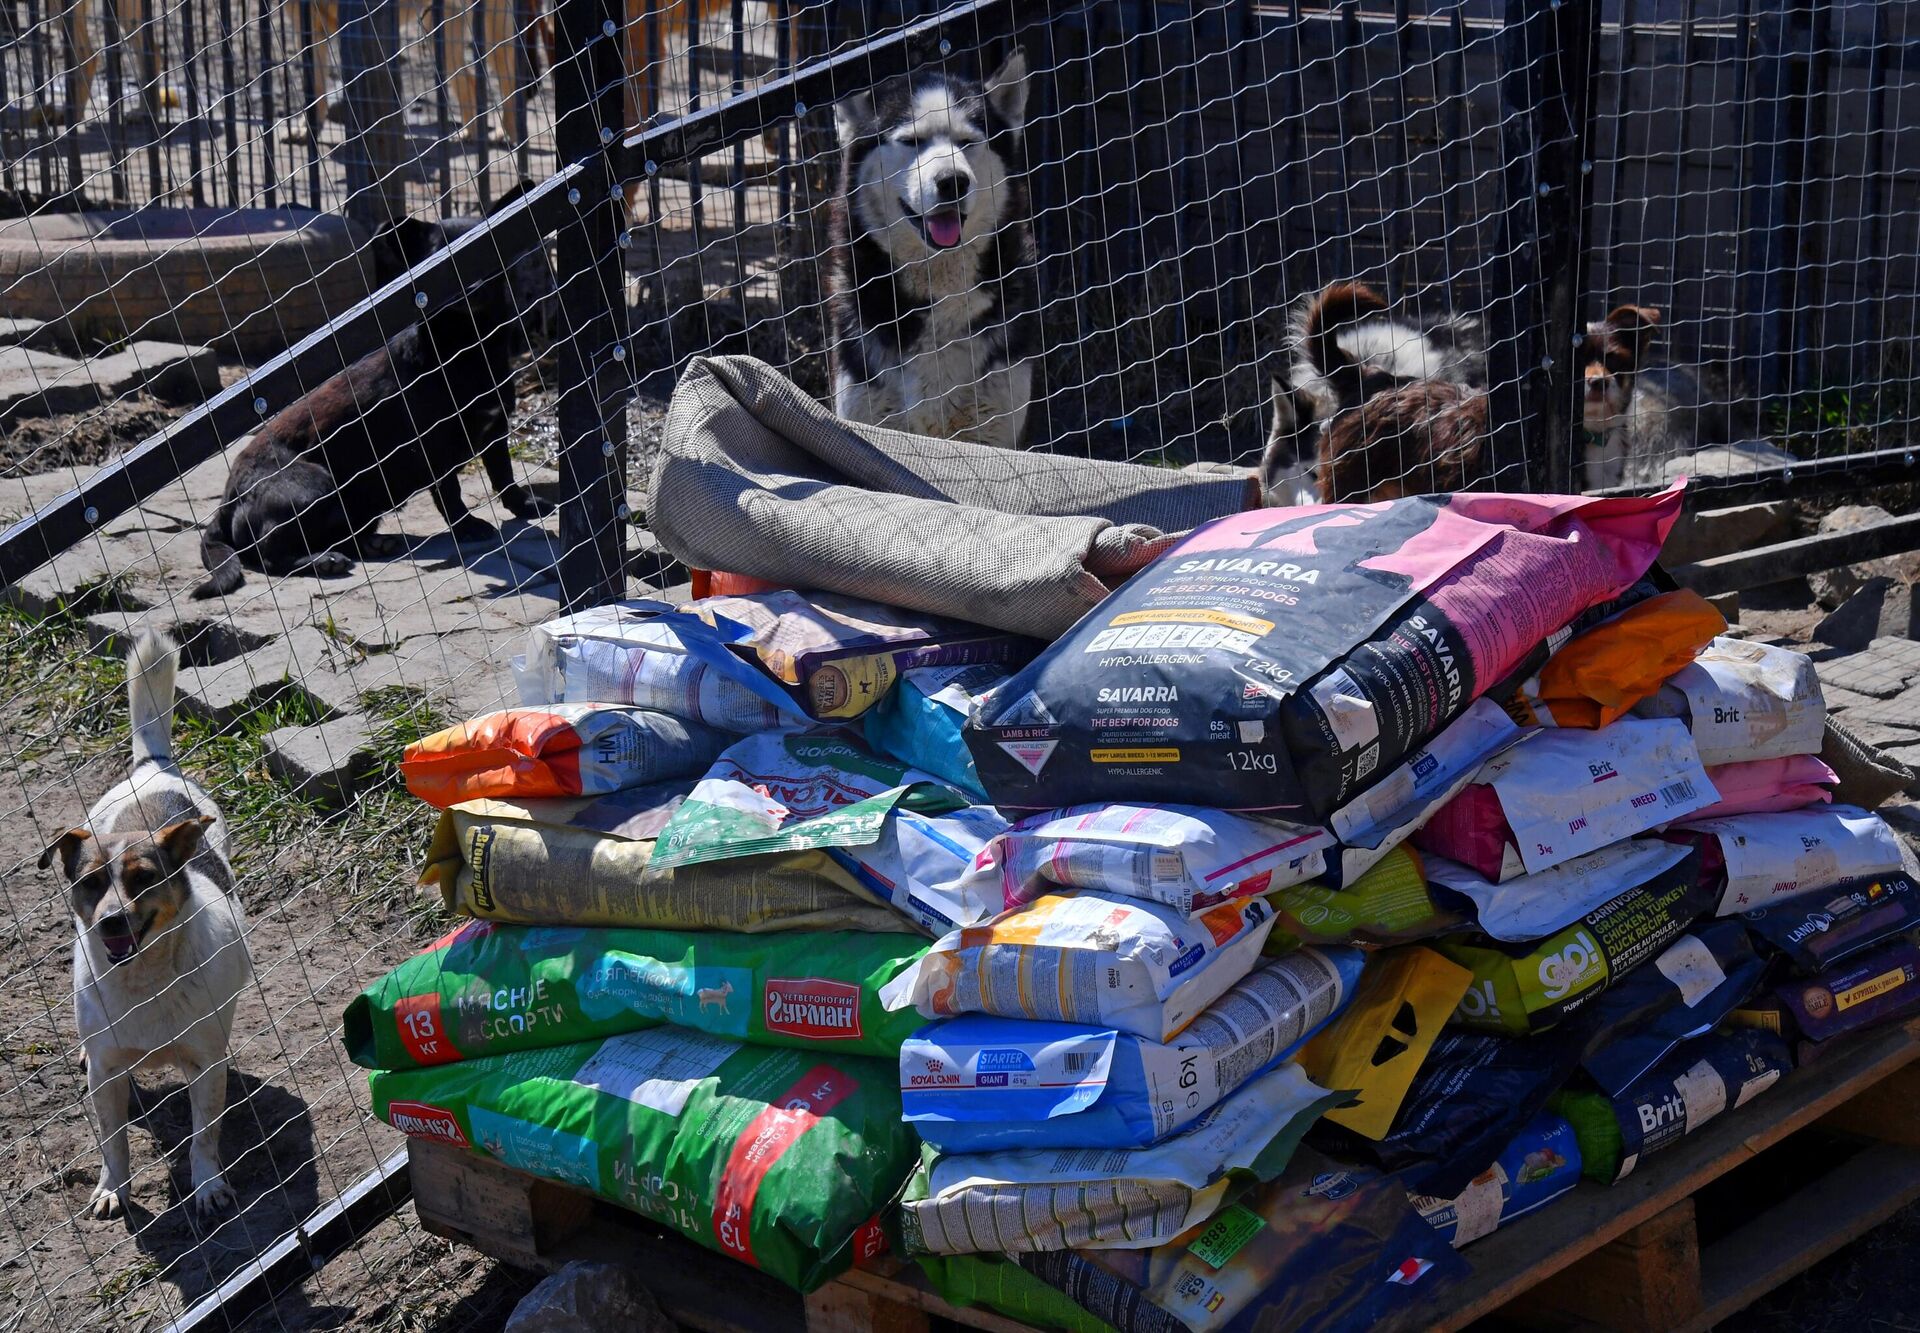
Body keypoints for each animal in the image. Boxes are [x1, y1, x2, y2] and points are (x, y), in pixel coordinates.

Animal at [41, 630, 249, 1229]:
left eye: (142, 878)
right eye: (91, 882)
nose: (111, 919)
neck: (144, 982)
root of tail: (154, 767)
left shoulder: (204, 1065)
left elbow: (205, 1136)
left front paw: (208, 1187)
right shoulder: (107, 1076)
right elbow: (113, 1144)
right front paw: (113, 1188)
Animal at [192, 185, 556, 603]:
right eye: (438, 256)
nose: (472, 287)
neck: (466, 345)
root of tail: (227, 501)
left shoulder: (496, 431)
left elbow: (504, 475)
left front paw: (522, 504)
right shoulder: (433, 446)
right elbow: (450, 493)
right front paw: (467, 526)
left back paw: (371, 543)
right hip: (314, 485)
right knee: (269, 554)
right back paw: (323, 561)